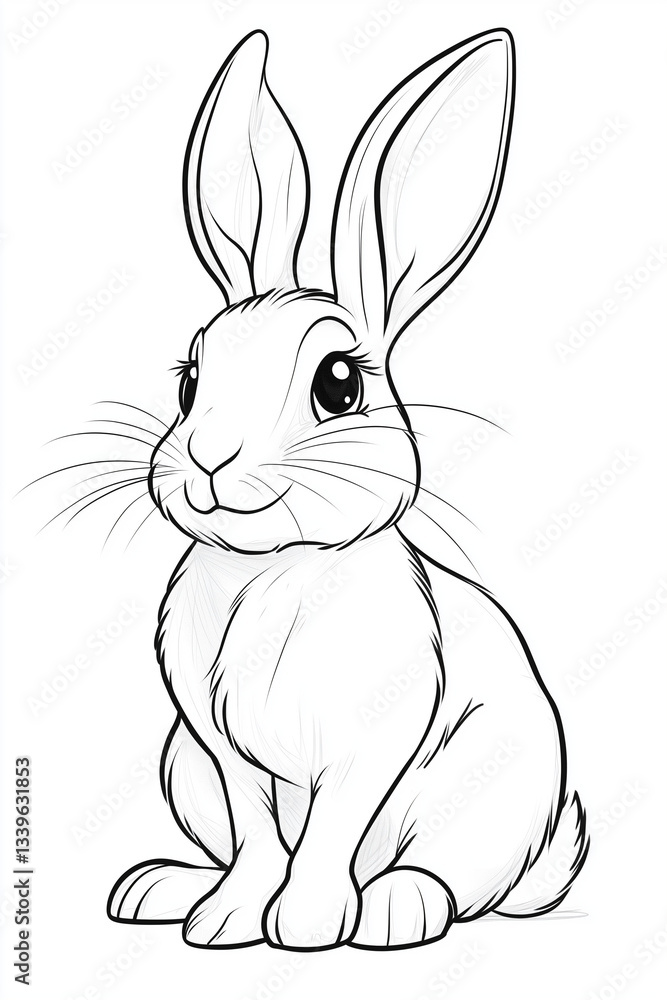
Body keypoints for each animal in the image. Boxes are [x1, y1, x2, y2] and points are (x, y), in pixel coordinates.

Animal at [107, 28, 588, 951]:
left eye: (338, 383)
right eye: (190, 381)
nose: (208, 456)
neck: (270, 567)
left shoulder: (369, 748)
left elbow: (330, 833)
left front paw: (304, 927)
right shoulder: (220, 753)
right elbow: (258, 836)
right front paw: (225, 921)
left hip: (492, 793)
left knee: (458, 880)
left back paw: (397, 908)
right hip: (183, 770)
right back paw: (161, 889)